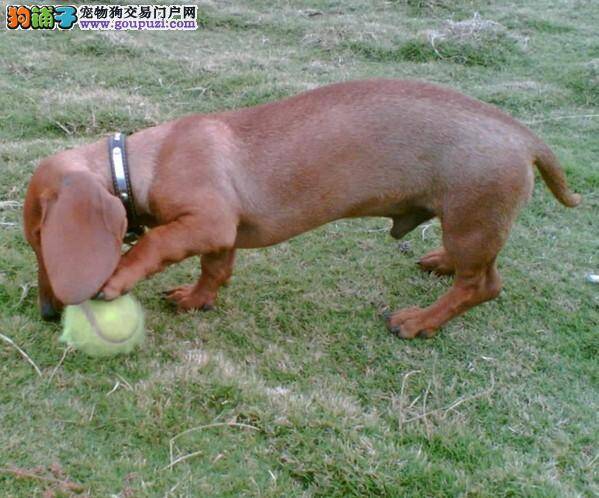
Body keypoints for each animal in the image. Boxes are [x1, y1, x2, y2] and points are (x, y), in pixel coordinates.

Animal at [23, 80, 580, 338]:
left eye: (42, 244)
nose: (48, 315)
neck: (140, 163)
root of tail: (523, 136)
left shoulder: (205, 222)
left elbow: (156, 243)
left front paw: (118, 276)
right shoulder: (221, 234)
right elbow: (214, 271)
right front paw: (196, 299)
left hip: (470, 223)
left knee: (481, 285)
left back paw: (420, 321)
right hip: (473, 226)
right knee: (481, 273)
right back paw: (438, 266)